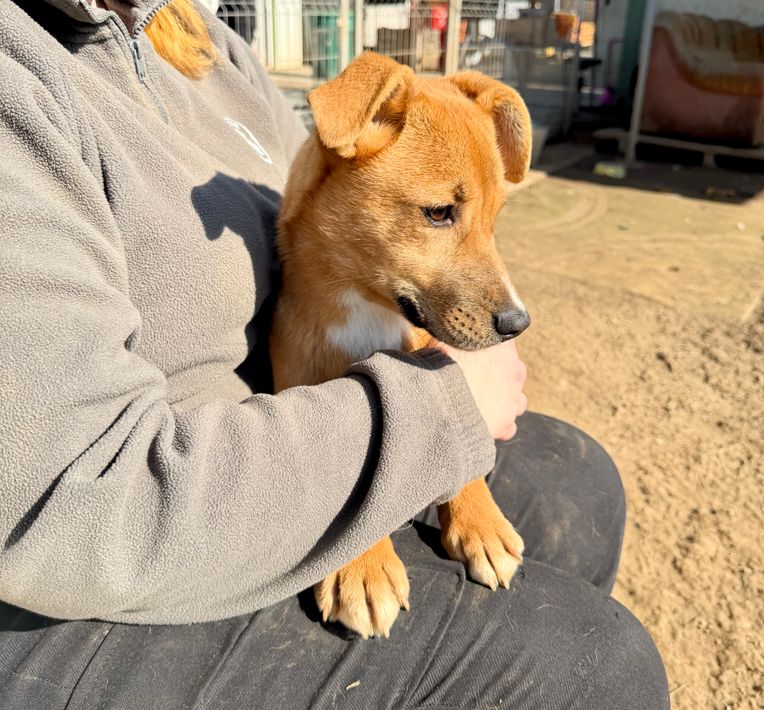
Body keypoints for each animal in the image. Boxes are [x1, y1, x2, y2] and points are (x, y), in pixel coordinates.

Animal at [270, 52, 532, 638]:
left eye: (495, 220)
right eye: (438, 213)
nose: (518, 323)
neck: (366, 315)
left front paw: (481, 522)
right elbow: (355, 493)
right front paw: (362, 568)